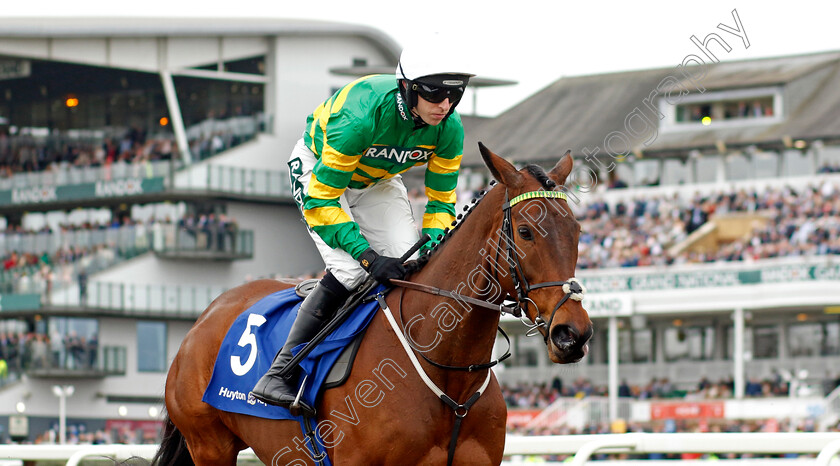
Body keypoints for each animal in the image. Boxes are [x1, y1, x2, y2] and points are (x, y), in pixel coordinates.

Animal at [156, 144, 592, 464]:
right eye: (526, 231)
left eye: (577, 230)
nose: (572, 333)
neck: (448, 371)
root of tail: (205, 317)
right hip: (209, 444)